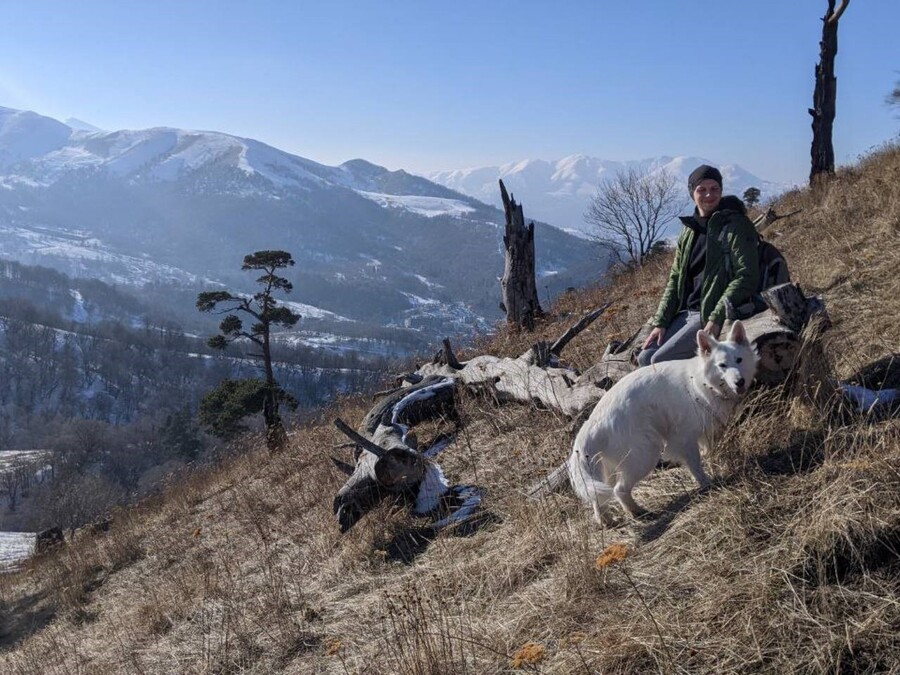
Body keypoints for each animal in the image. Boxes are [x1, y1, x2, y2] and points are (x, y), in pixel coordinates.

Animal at [568, 320, 760, 524]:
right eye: (722, 365)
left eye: (739, 360)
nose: (740, 382)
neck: (700, 382)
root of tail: (591, 424)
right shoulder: (685, 439)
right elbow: (696, 465)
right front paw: (707, 484)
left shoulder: (704, 432)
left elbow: (708, 451)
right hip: (645, 454)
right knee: (619, 490)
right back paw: (638, 512)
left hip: (608, 469)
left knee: (600, 497)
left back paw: (606, 521)